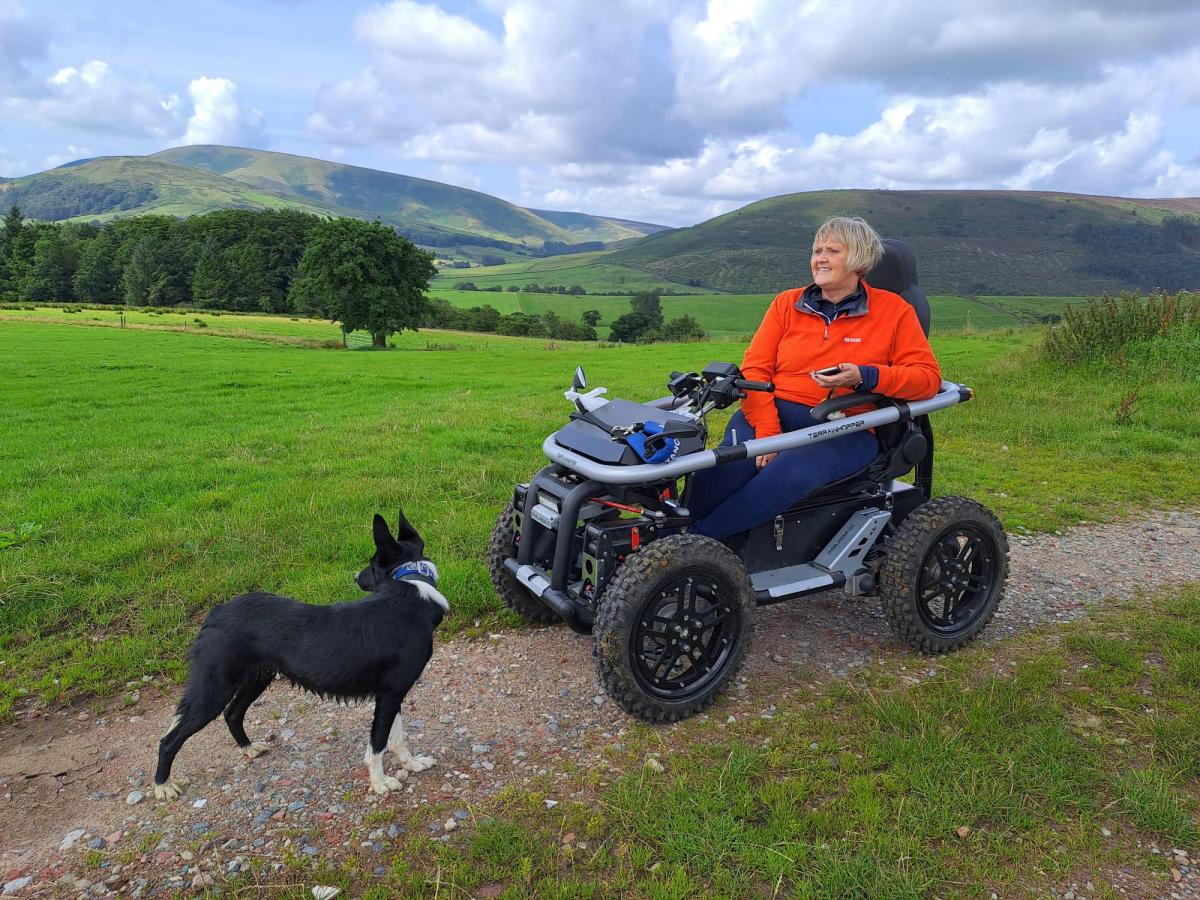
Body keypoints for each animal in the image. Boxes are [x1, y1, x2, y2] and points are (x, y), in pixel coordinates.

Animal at [152, 511, 448, 801]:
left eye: (371, 564)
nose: (355, 577)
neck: (413, 586)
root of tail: (216, 612)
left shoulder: (392, 693)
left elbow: (396, 737)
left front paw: (411, 763)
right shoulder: (389, 694)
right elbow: (377, 744)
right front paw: (380, 783)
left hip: (256, 679)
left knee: (233, 713)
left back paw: (248, 748)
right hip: (213, 691)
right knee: (169, 739)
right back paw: (162, 785)